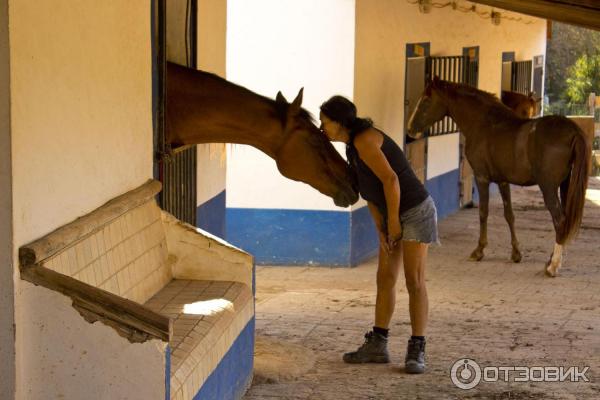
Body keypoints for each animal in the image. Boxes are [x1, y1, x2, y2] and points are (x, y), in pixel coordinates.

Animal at [406, 78, 588, 278]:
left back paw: (553, 266)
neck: (484, 124)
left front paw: (479, 251)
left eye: (426, 99)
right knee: (563, 222)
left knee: (560, 220)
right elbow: (509, 215)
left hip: (548, 187)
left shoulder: (482, 178)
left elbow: (483, 212)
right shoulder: (503, 181)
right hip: (565, 185)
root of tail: (572, 130)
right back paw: (550, 261)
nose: (410, 130)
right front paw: (516, 253)